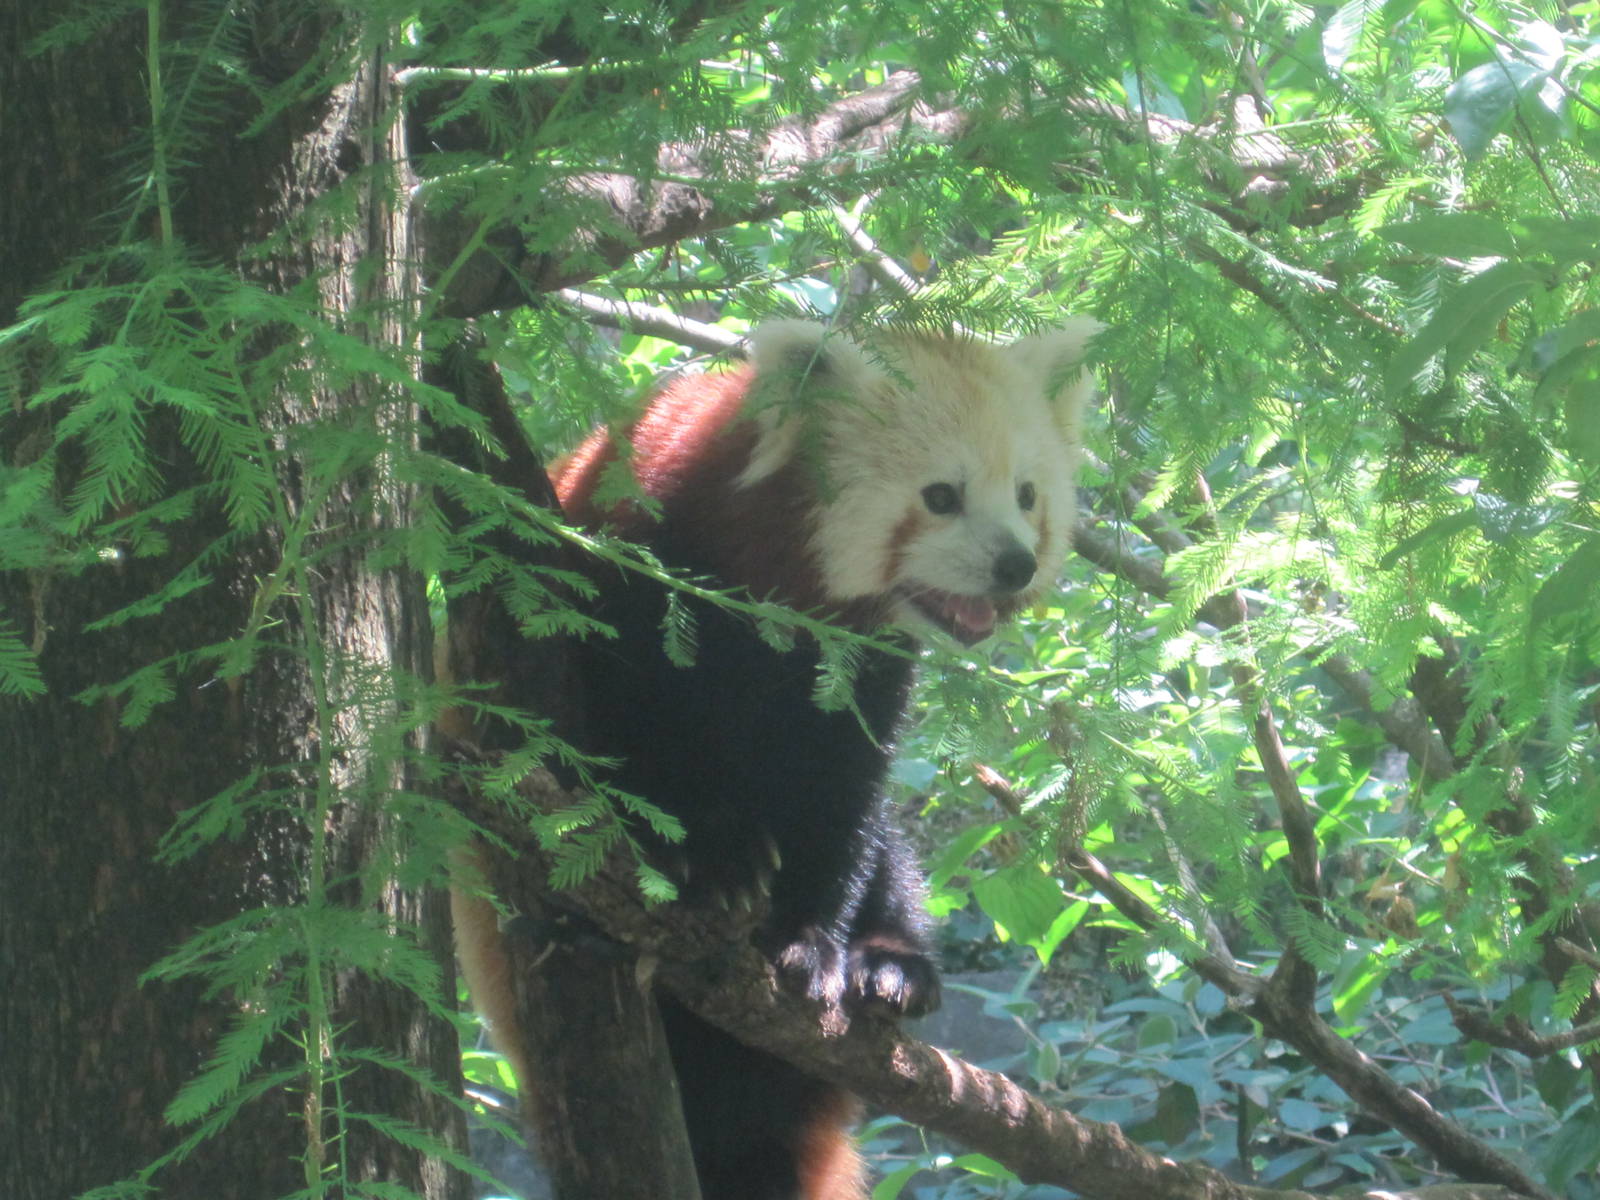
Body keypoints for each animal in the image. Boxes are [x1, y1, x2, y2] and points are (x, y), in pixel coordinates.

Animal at [457, 317, 1098, 1199]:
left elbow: (841, 805)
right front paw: (709, 858)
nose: (1016, 565)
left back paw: (895, 968)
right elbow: (623, 753)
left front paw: (810, 944)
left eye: (1028, 495)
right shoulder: (623, 578)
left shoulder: (857, 669)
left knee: (891, 855)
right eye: (941, 496)